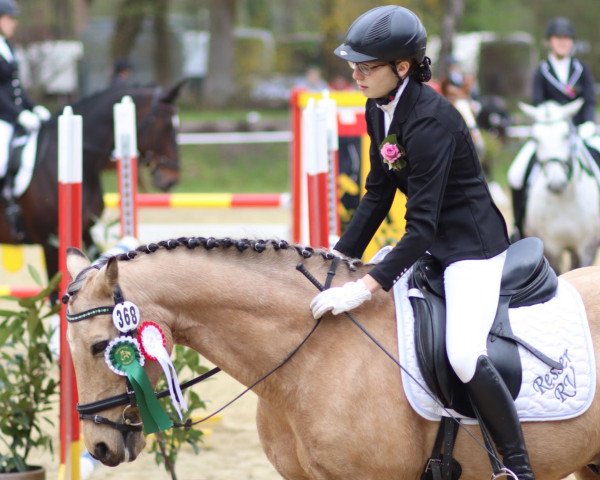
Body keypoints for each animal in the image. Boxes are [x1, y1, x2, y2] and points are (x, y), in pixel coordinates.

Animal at [516, 99, 596, 272]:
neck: (564, 200)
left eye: (566, 135)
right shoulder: (550, 249)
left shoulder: (586, 249)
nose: (556, 183)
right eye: (535, 139)